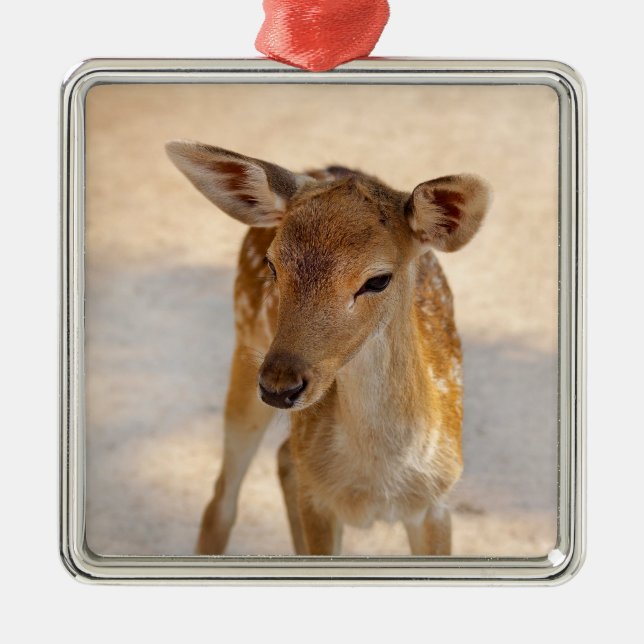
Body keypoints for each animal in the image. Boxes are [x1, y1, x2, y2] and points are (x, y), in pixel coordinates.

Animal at [166, 141, 491, 556]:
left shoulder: (437, 503)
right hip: (245, 346)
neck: (376, 484)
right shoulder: (319, 502)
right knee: (222, 498)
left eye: (378, 279)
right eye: (273, 265)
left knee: (283, 458)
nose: (279, 386)